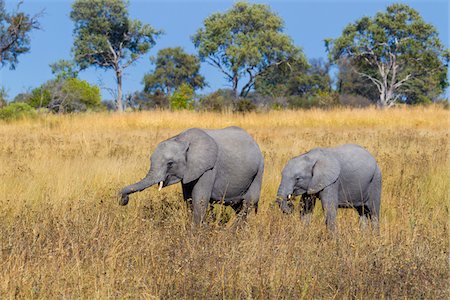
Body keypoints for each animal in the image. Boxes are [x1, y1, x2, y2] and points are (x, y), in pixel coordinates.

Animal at [118, 126, 264, 225]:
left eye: (170, 164)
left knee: (248, 204)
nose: (123, 200)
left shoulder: (209, 169)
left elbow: (200, 199)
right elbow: (188, 199)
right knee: (239, 207)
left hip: (259, 171)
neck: (182, 140)